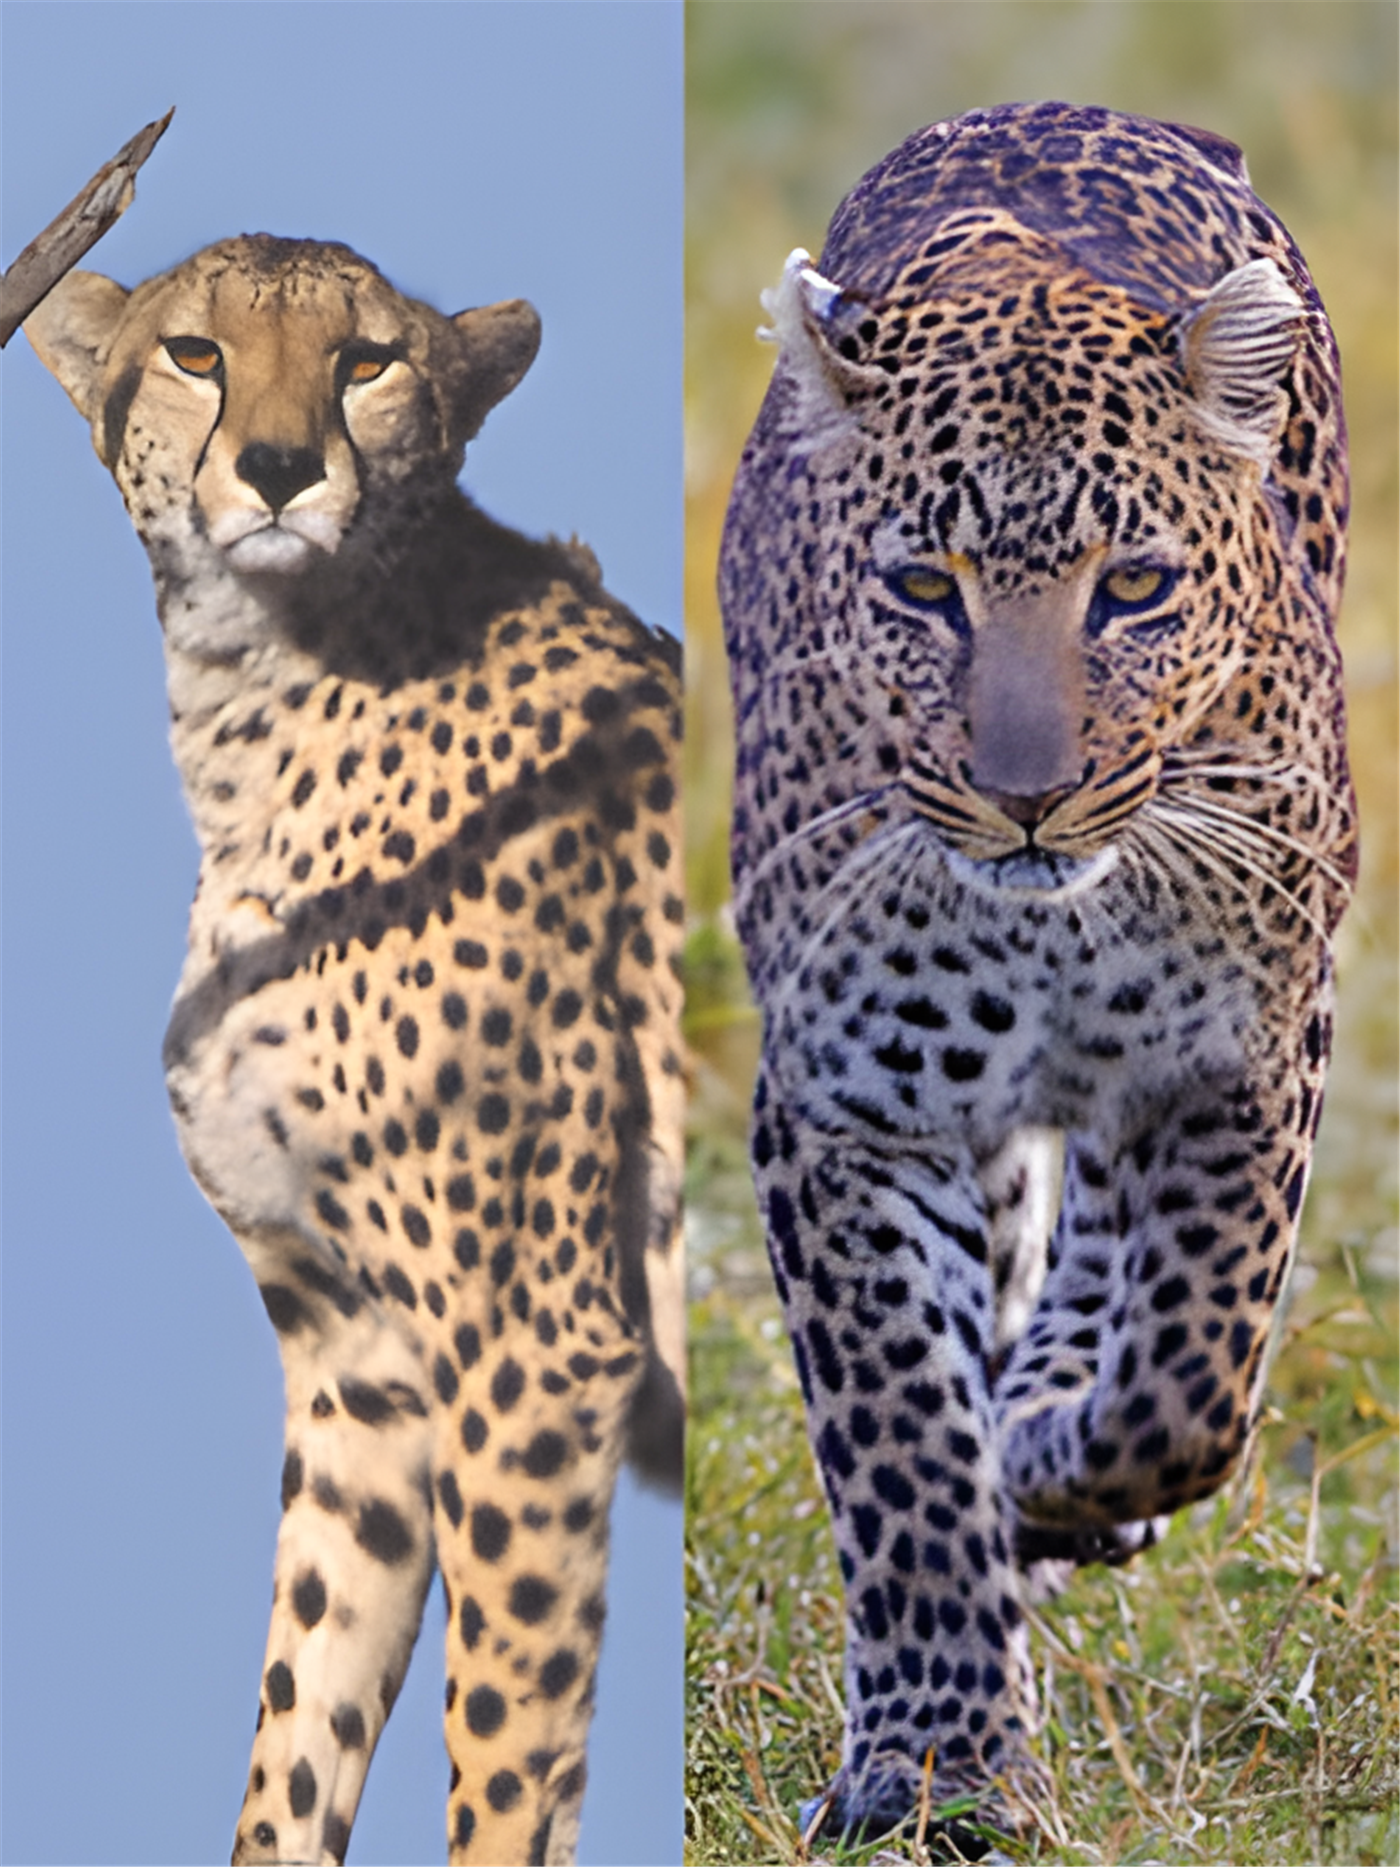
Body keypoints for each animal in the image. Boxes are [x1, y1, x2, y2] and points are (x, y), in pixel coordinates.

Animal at [26, 231, 684, 1867]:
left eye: (367, 360)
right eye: (195, 352)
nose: (276, 470)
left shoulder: (534, 1350)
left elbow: (503, 1758)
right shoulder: (362, 1365)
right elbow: (298, 1727)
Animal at [719, 101, 1354, 1851]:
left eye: (1130, 587)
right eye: (922, 588)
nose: (1027, 794)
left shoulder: (1251, 1045)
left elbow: (1194, 1361)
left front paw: (1067, 1471)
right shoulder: (850, 1108)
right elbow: (903, 1445)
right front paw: (937, 1761)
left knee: (1117, 1247)